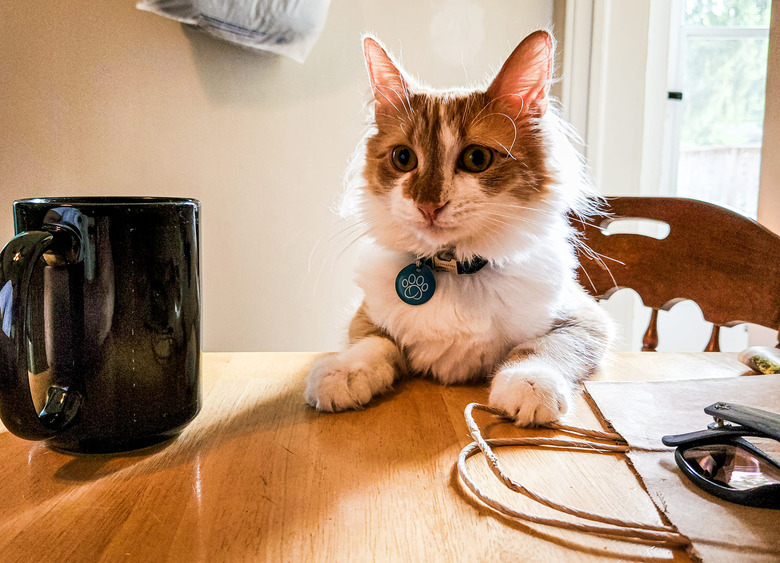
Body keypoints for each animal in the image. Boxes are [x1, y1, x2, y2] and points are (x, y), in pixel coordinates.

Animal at [304, 30, 608, 426]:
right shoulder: (367, 315)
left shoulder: (587, 318)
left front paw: (529, 383)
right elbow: (374, 343)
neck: (455, 270)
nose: (428, 206)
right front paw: (342, 372)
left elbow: (545, 347)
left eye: (476, 158)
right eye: (403, 158)